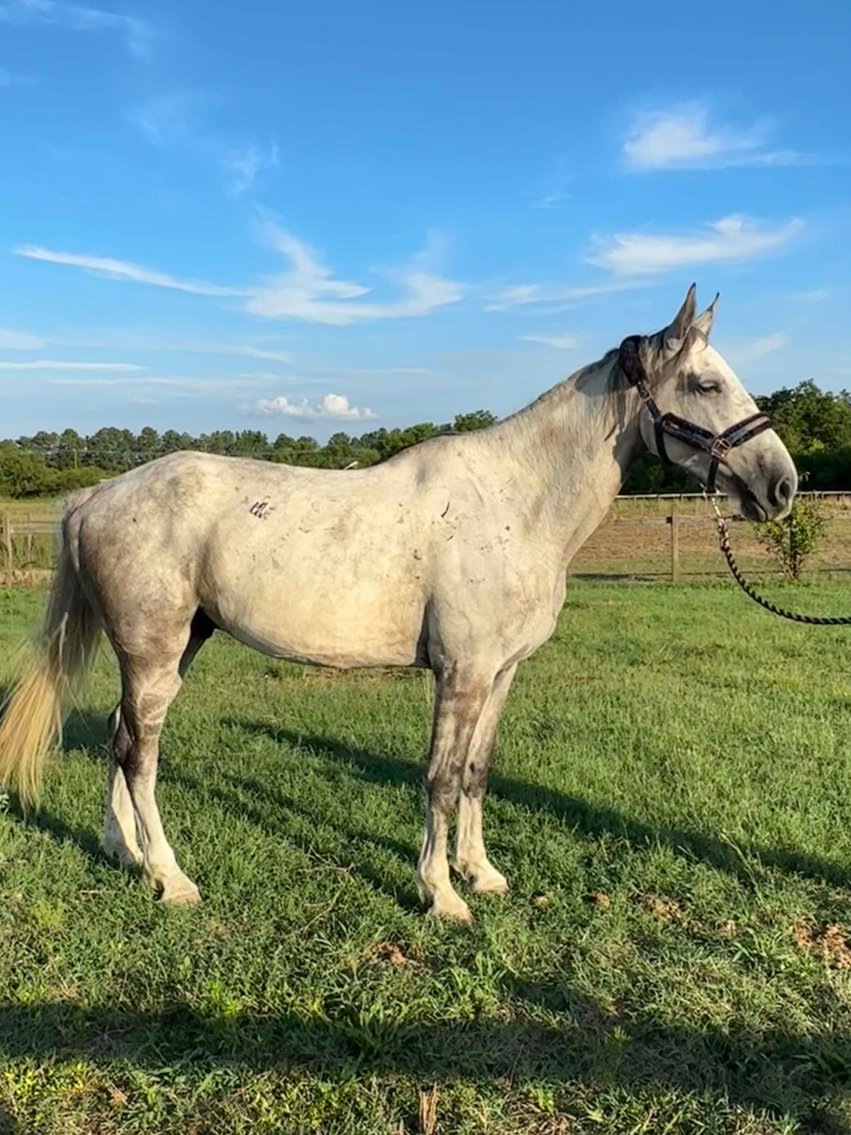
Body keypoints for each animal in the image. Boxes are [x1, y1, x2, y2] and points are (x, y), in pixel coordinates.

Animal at [0, 285, 797, 921]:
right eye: (704, 383)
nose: (781, 485)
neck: (515, 500)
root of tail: (95, 496)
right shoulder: (461, 673)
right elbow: (440, 778)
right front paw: (440, 894)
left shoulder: (501, 673)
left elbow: (476, 772)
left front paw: (481, 874)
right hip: (155, 651)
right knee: (140, 753)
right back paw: (172, 879)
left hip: (173, 647)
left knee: (117, 736)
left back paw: (125, 853)